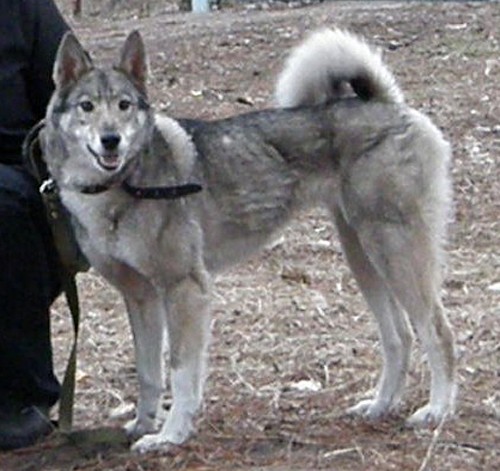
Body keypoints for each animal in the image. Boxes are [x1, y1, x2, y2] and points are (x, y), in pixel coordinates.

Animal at [41, 28, 455, 453]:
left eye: (124, 106)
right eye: (87, 106)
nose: (111, 140)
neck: (119, 186)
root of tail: (387, 103)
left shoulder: (184, 288)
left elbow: (180, 371)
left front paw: (171, 434)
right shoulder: (140, 297)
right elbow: (148, 372)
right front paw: (143, 424)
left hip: (395, 252)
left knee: (438, 332)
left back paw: (437, 410)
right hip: (363, 256)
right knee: (399, 337)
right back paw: (380, 405)